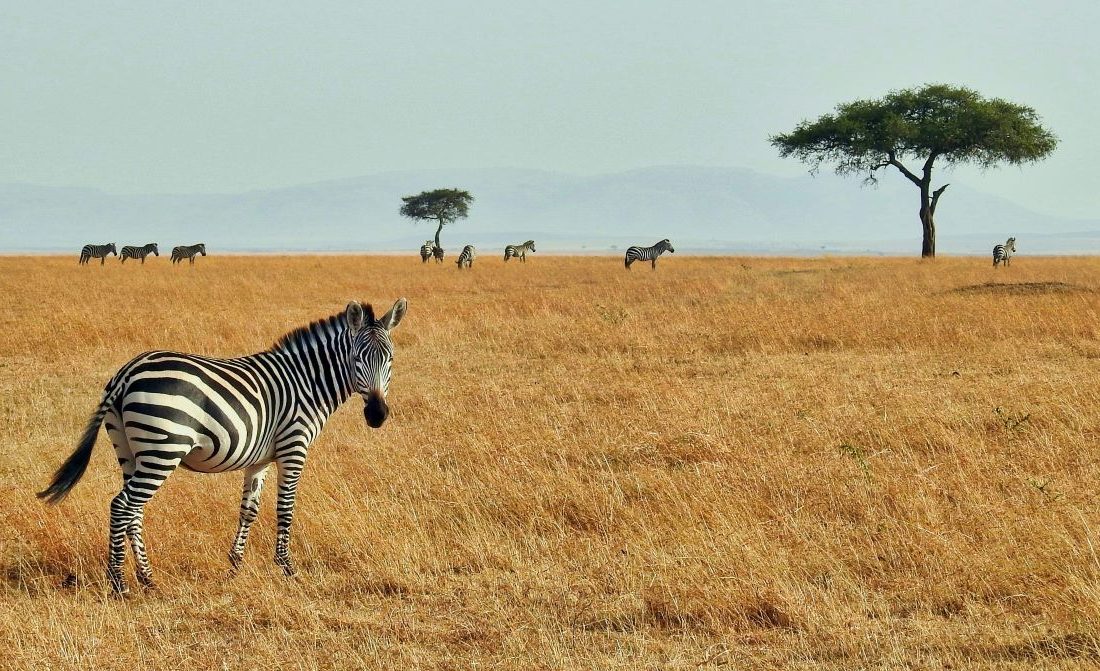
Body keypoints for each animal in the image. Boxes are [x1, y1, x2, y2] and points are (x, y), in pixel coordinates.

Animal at [37, 299, 408, 595]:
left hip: (129, 450)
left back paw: (147, 578)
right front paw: (287, 568)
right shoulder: (293, 447)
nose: (377, 415)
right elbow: (285, 509)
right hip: (163, 448)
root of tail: (127, 372)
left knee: (133, 511)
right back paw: (120, 583)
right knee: (121, 506)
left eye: (389, 359)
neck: (306, 382)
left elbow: (249, 510)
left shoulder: (259, 459)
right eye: (357, 358)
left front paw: (235, 565)